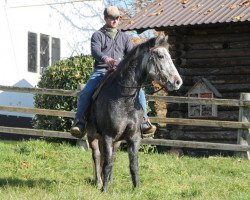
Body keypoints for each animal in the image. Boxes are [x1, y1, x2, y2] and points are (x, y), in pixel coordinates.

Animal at [85, 35, 182, 192]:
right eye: (160, 56)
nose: (177, 82)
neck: (123, 97)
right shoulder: (107, 136)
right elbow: (106, 162)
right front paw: (104, 189)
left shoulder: (134, 137)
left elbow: (133, 164)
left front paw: (137, 188)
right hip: (93, 136)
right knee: (97, 155)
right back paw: (99, 181)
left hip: (116, 141)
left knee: (111, 157)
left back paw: (108, 180)